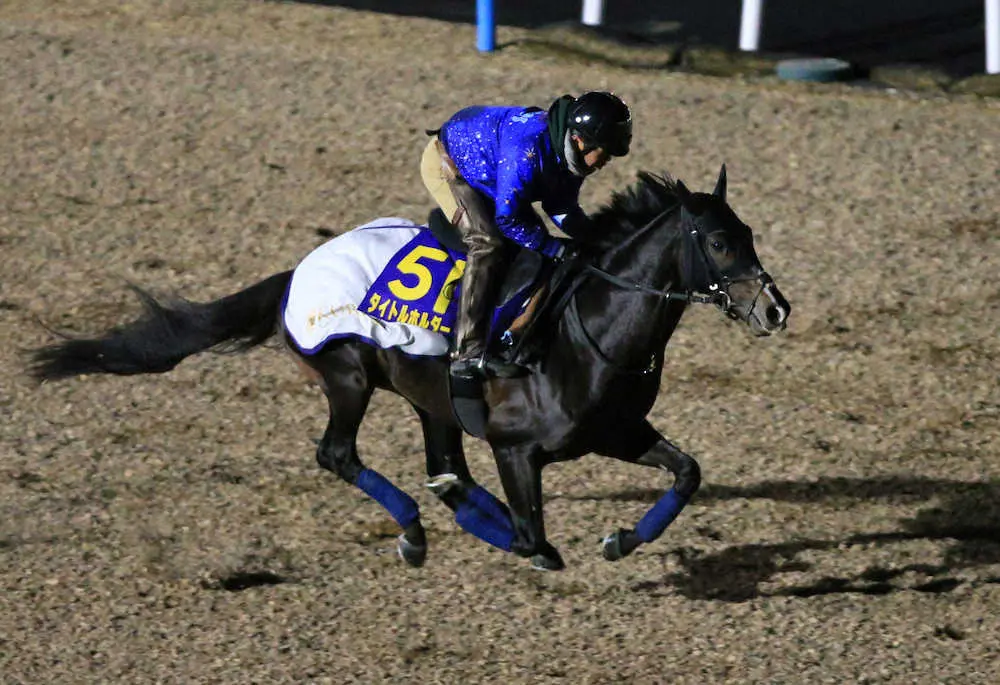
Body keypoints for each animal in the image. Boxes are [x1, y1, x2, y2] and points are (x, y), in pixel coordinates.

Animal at [28, 166, 790, 571]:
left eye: (750, 234)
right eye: (720, 242)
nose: (775, 308)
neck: (588, 330)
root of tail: (296, 272)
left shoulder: (616, 431)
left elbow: (687, 473)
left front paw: (623, 537)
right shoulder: (517, 448)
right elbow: (534, 538)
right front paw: (543, 542)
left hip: (430, 397)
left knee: (444, 468)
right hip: (349, 376)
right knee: (339, 454)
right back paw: (413, 532)